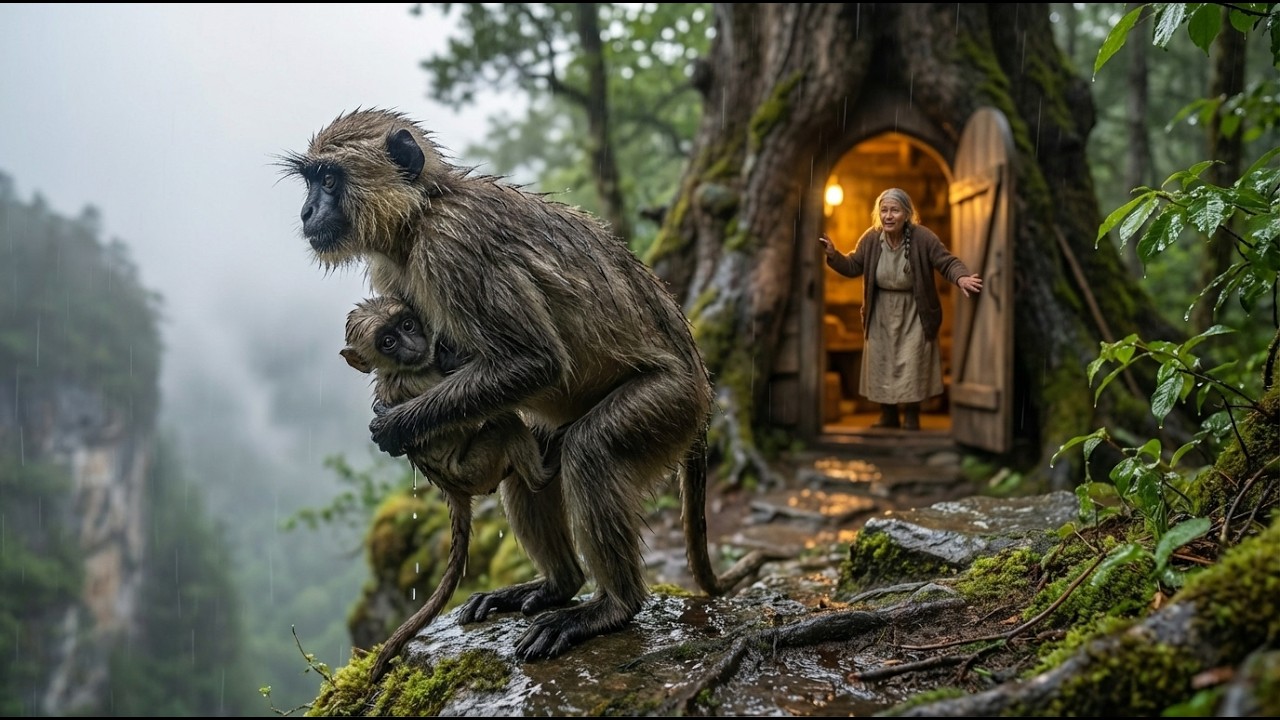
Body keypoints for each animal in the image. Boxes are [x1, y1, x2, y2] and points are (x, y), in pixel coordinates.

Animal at [283, 108, 781, 680]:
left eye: (328, 180)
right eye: (311, 183)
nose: (307, 211)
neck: (424, 209)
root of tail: (702, 379)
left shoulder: (452, 248)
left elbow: (533, 361)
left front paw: (395, 423)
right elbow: (450, 357)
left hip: (670, 403)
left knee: (590, 449)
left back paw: (612, 607)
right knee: (527, 465)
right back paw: (558, 584)